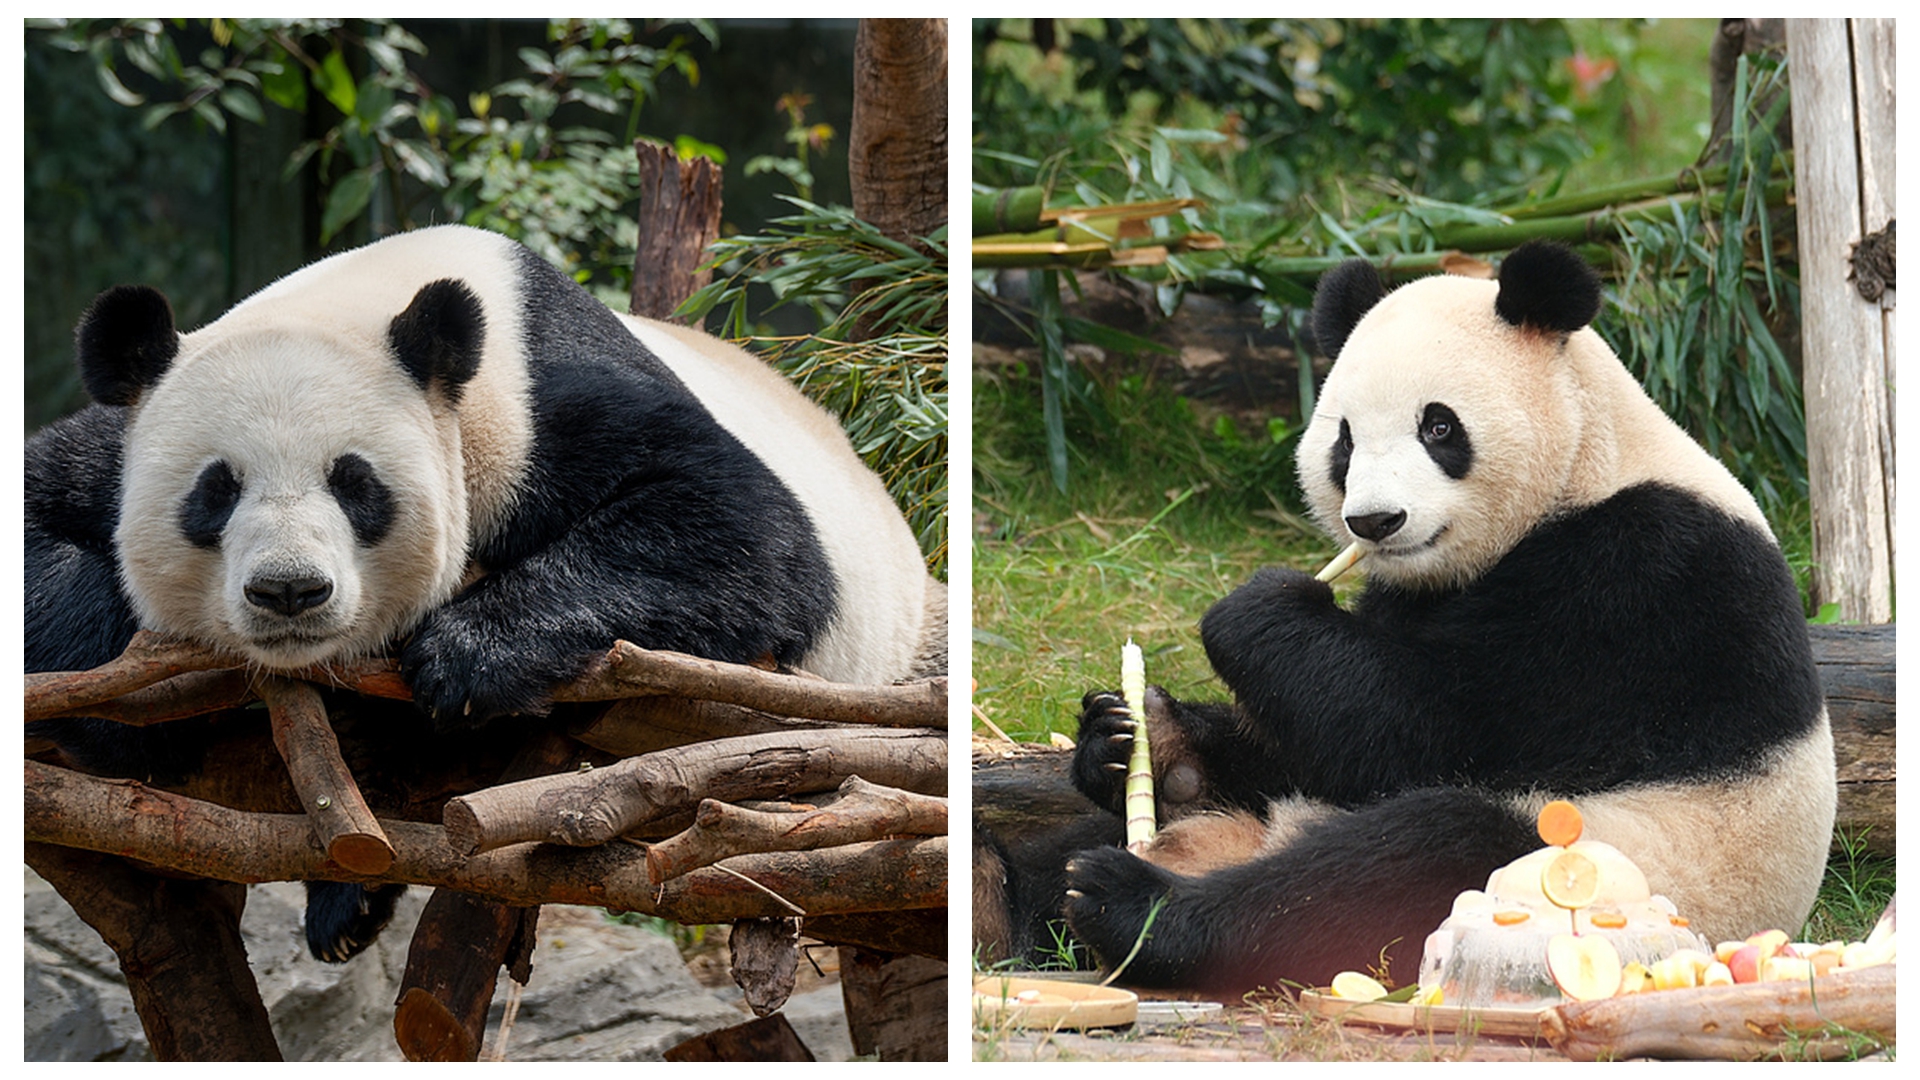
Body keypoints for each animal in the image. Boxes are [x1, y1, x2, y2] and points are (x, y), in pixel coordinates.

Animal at [26, 223, 944, 960]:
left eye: (355, 483)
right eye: (217, 490)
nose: (290, 591)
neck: (374, 302)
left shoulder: (533, 410)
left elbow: (744, 528)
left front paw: (466, 658)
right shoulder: (119, 441)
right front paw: (134, 704)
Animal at [1045, 240, 1834, 996]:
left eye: (1439, 426)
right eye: (1344, 440)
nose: (1375, 521)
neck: (1587, 465)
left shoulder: (1645, 580)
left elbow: (1430, 730)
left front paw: (1258, 610)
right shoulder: (1408, 593)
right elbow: (1321, 738)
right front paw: (1132, 734)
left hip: (1610, 853)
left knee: (1406, 859)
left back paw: (1132, 907)